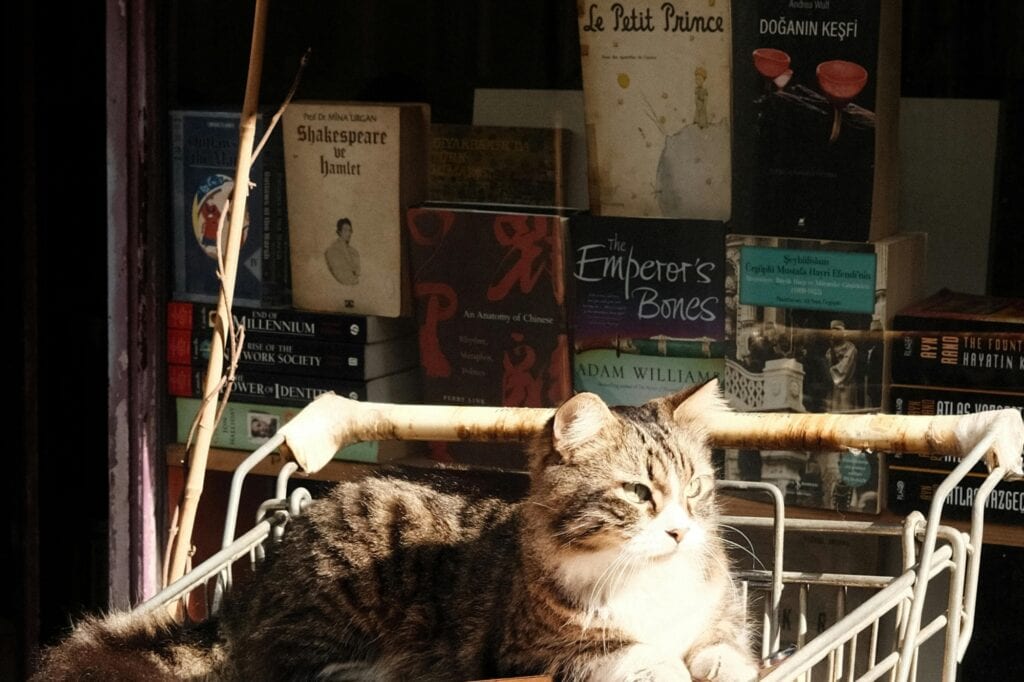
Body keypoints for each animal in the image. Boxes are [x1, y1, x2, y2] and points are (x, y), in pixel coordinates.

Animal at [32, 378, 761, 675]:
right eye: (639, 494)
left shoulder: (719, 618)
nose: (680, 533)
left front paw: (717, 665)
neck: (647, 580)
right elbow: (634, 654)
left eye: (697, 492)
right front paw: (662, 664)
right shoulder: (530, 653)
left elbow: (727, 651)